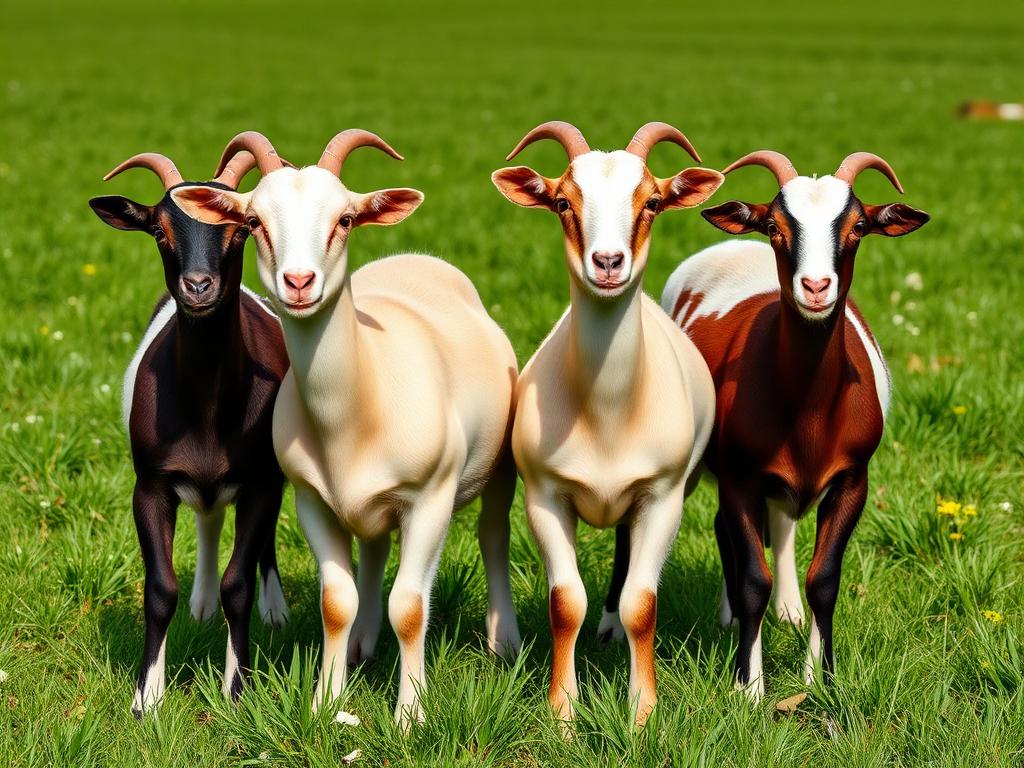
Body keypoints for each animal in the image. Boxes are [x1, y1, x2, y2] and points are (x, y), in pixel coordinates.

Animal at [89, 151, 290, 718]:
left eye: (243, 227)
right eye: (159, 229)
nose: (198, 286)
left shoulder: (261, 482)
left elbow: (238, 582)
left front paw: (237, 689)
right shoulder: (151, 485)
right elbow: (160, 588)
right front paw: (146, 697)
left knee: (261, 539)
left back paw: (275, 608)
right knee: (207, 517)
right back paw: (200, 604)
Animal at [171, 130, 522, 727]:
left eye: (345, 219)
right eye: (254, 222)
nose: (298, 282)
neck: (359, 399)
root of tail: (418, 260)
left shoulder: (430, 498)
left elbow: (411, 607)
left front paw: (410, 717)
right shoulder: (311, 497)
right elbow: (337, 601)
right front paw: (325, 702)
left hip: (497, 464)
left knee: (492, 538)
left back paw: (505, 642)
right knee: (375, 553)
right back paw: (362, 643)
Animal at [492, 121, 722, 725]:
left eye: (654, 202)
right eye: (562, 202)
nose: (609, 263)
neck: (607, 415)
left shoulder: (663, 496)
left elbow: (643, 602)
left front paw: (642, 714)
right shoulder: (545, 496)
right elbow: (565, 603)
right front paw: (563, 714)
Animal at [656, 150, 929, 699]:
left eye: (858, 226)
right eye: (775, 228)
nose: (816, 287)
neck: (807, 411)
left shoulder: (853, 481)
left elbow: (824, 580)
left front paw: (821, 678)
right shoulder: (739, 479)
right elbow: (750, 581)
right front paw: (749, 686)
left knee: (779, 525)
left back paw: (787, 613)